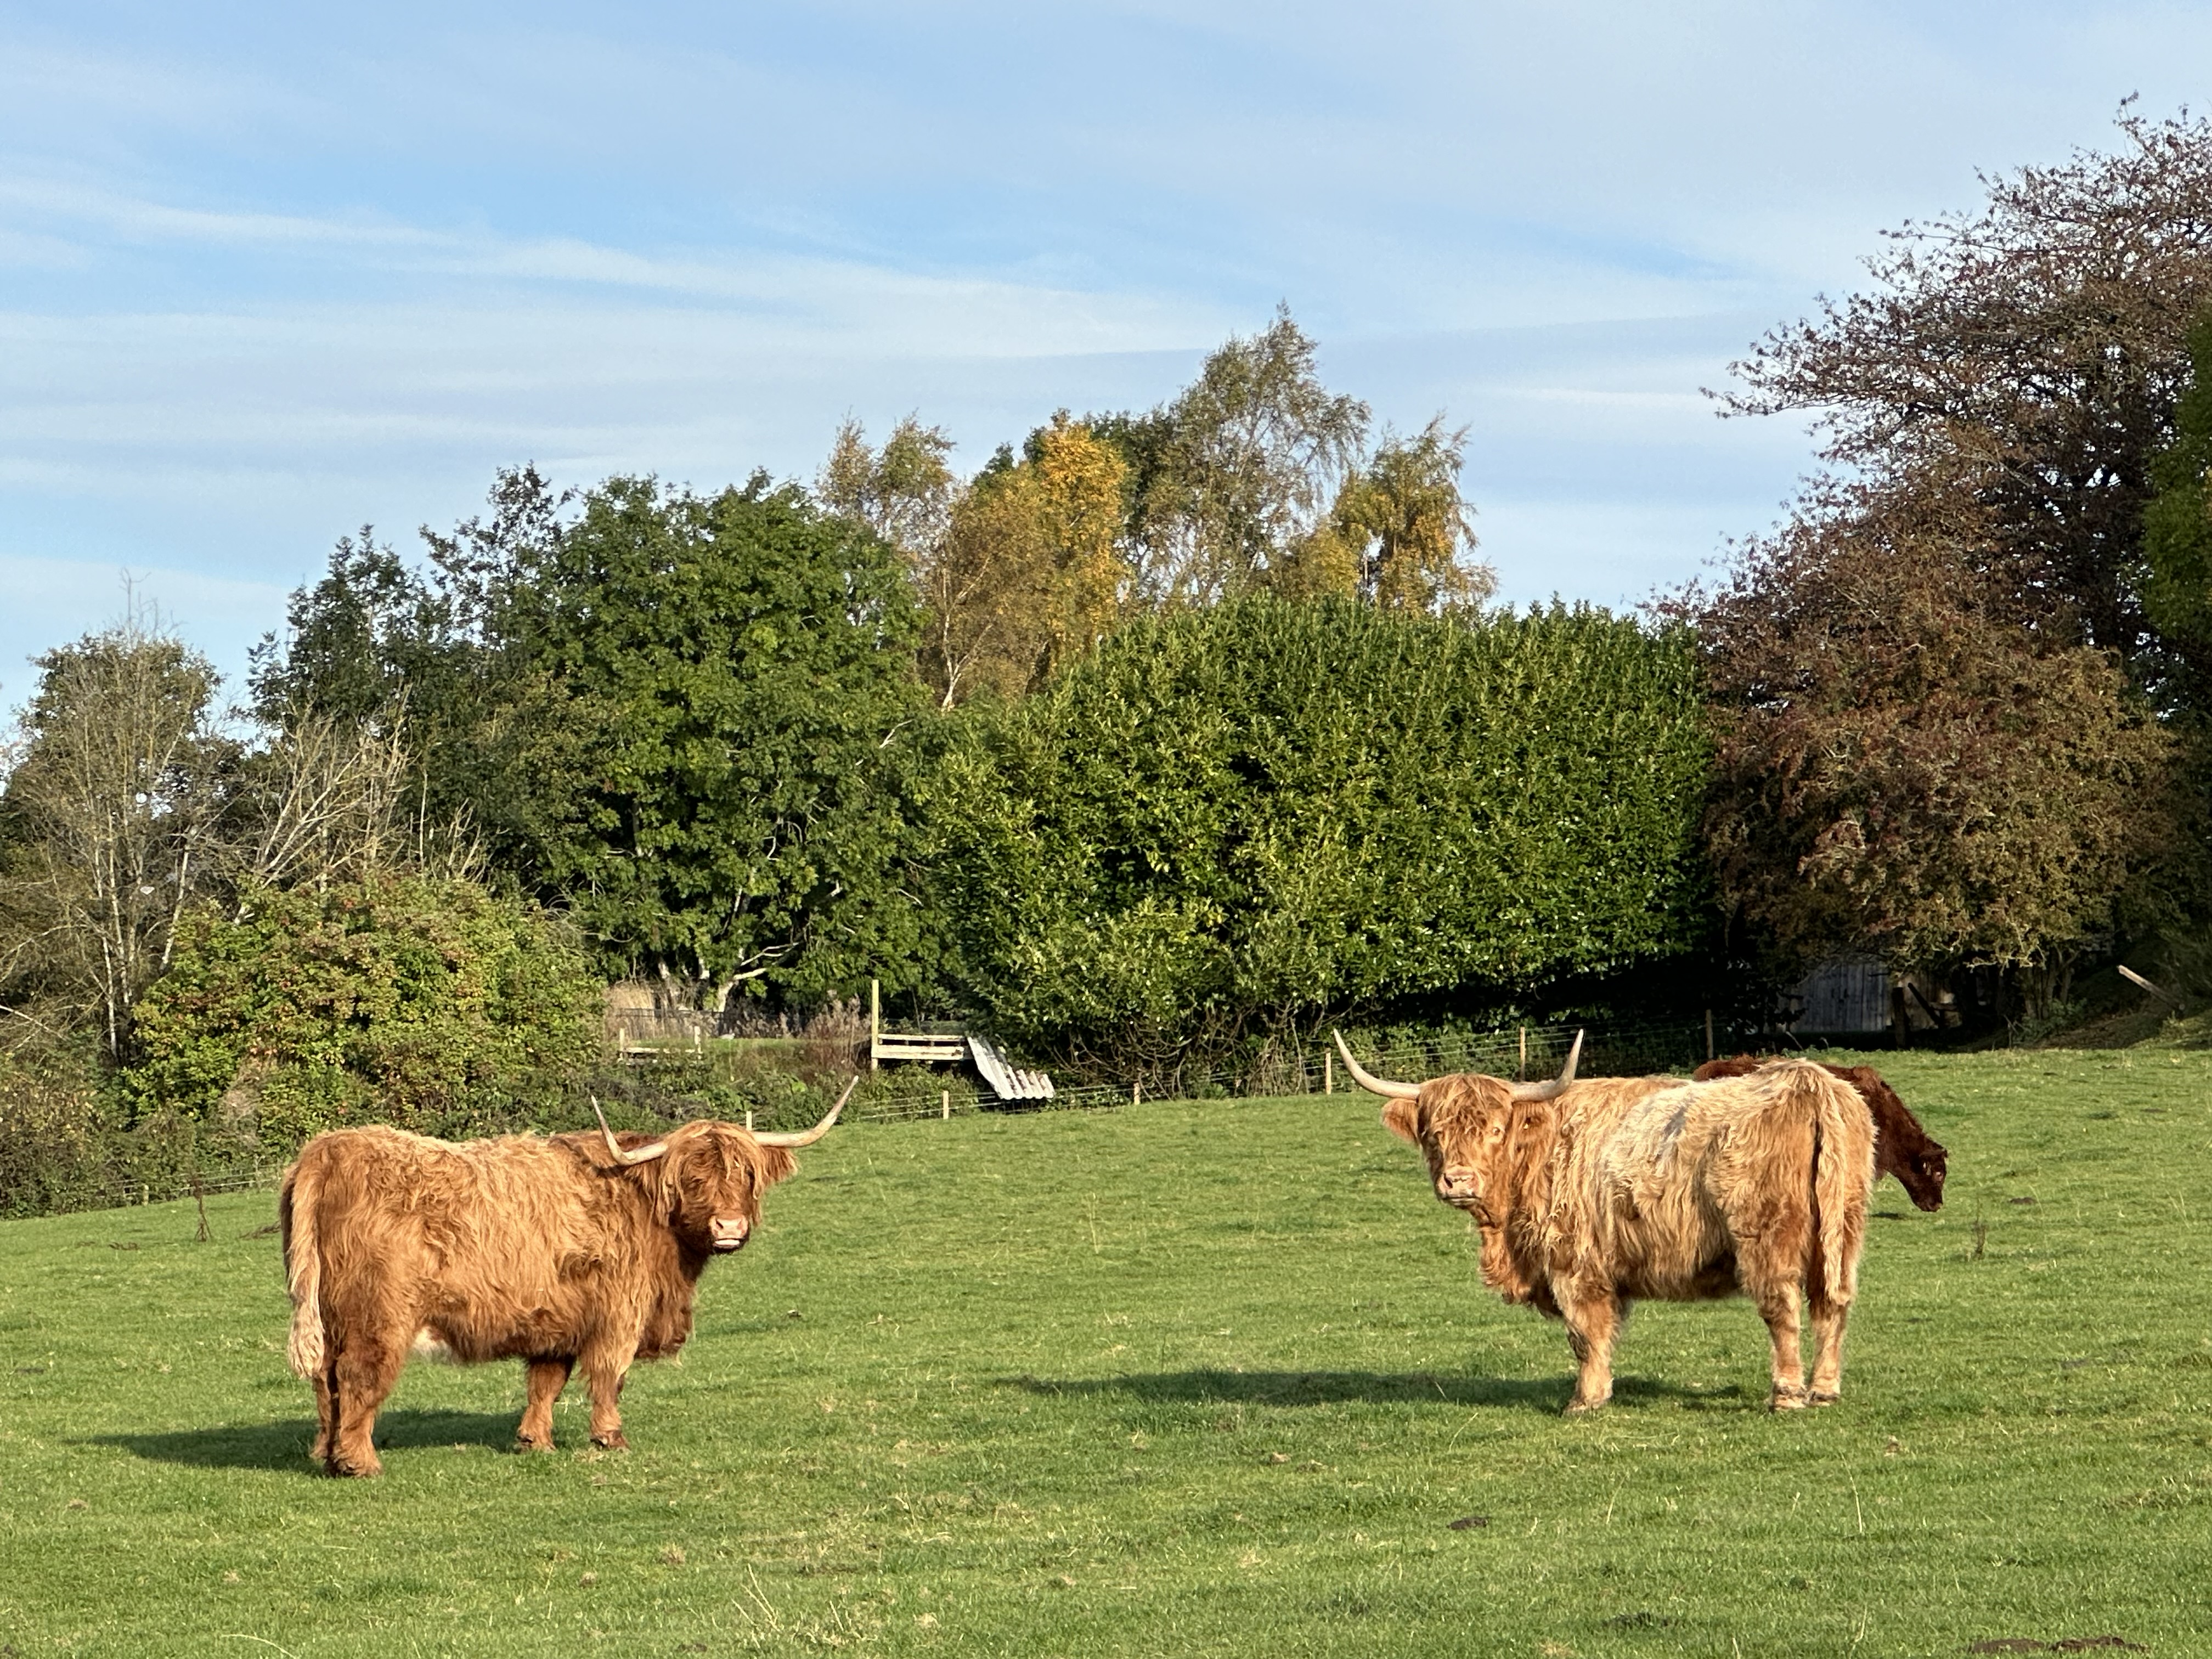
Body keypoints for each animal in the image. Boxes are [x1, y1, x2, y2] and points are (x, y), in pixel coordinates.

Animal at [278, 1082, 853, 1477]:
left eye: (747, 1174)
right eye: (691, 1177)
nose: (729, 1227)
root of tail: (328, 1150)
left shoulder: (556, 1320)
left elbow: (546, 1383)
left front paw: (536, 1441)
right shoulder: (620, 1311)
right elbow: (609, 1376)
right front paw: (610, 1438)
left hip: (330, 1316)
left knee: (326, 1382)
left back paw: (329, 1457)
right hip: (378, 1317)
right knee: (357, 1378)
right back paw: (360, 1462)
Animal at [1335, 1033, 1875, 1415]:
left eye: (1495, 1129)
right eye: (1434, 1133)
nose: (1459, 1179)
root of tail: (1806, 1081)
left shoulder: (1573, 1263)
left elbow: (1585, 1333)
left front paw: (1585, 1400)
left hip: (1767, 1234)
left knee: (1781, 1307)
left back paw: (1787, 1394)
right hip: (1843, 1229)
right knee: (1833, 1304)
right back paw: (1825, 1389)